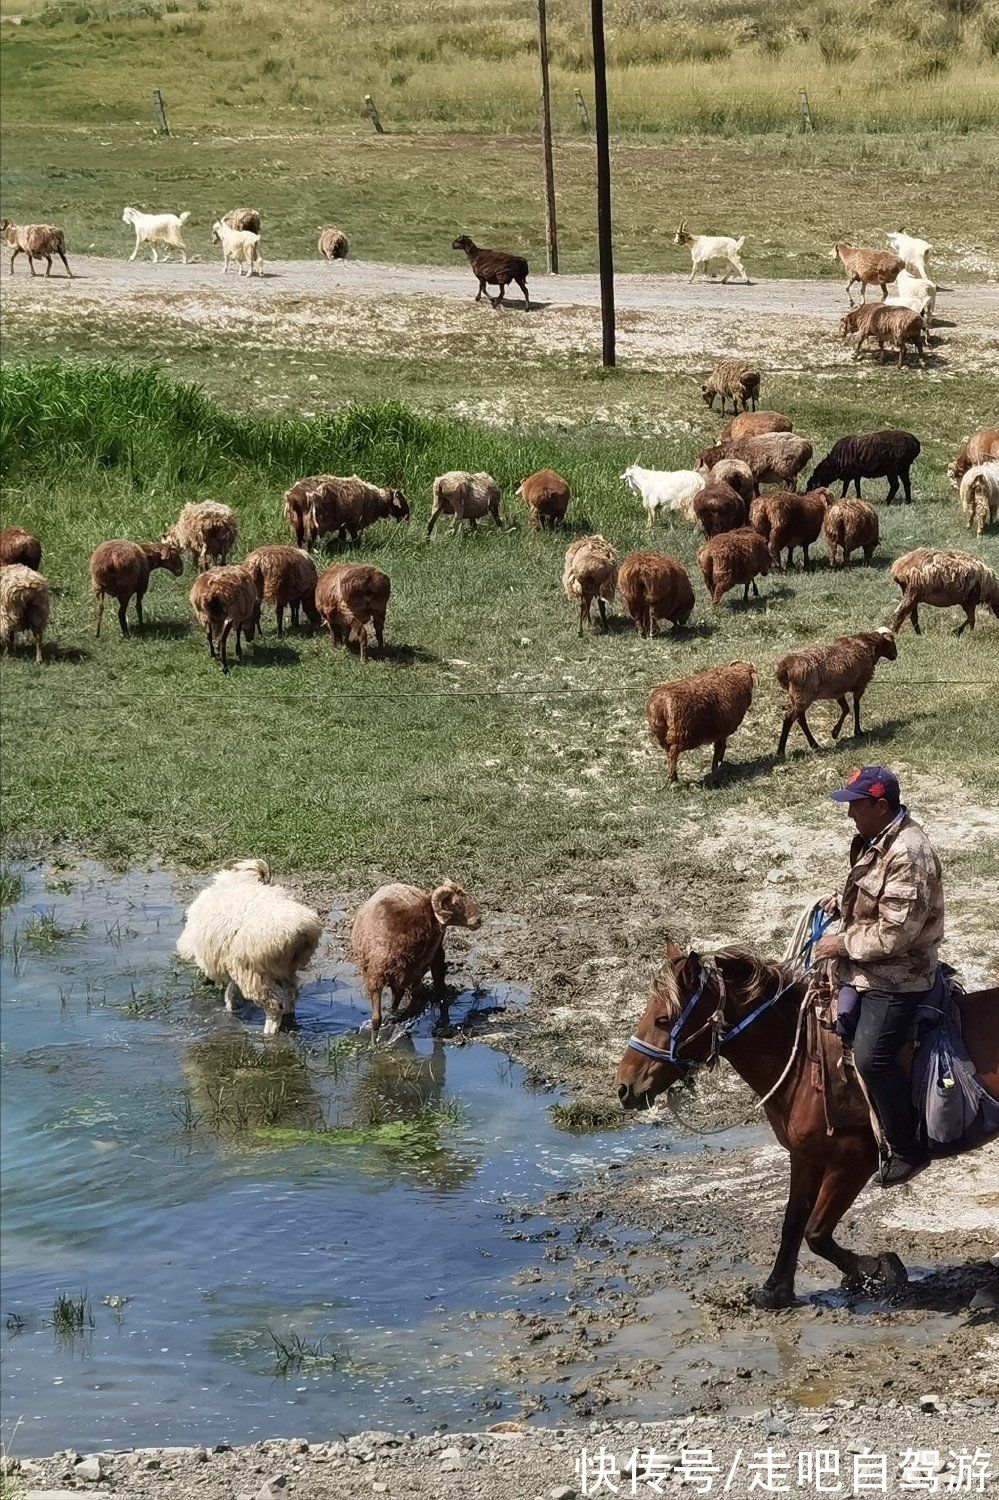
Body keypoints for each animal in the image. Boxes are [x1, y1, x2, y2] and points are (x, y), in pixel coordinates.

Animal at [174, 858, 321, 1032]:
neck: (240, 880)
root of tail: (300, 930)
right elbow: (232, 988)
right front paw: (230, 1005)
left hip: (252, 974)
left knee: (273, 1006)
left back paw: (269, 1032)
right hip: (283, 970)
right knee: (291, 995)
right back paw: (288, 1016)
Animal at [349, 876, 480, 1044]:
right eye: (456, 904)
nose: (478, 921)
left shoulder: (415, 976)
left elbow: (414, 1006)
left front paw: (398, 1024)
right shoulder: (374, 979)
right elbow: (376, 1019)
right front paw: (374, 1044)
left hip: (434, 958)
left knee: (439, 990)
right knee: (398, 995)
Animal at [612, 942, 990, 1308]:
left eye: (663, 1019)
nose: (624, 1088)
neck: (804, 1065)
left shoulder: (853, 1162)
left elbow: (816, 1233)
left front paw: (880, 1268)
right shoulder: (805, 1157)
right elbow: (793, 1223)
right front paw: (775, 1290)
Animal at [768, 627, 894, 756]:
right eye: (891, 643)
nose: (895, 656)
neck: (866, 645)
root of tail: (785, 667)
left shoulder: (838, 691)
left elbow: (846, 709)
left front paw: (835, 732)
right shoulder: (860, 686)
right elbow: (856, 707)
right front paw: (858, 731)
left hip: (795, 697)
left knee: (800, 719)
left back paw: (814, 744)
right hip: (803, 695)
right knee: (789, 719)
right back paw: (781, 751)